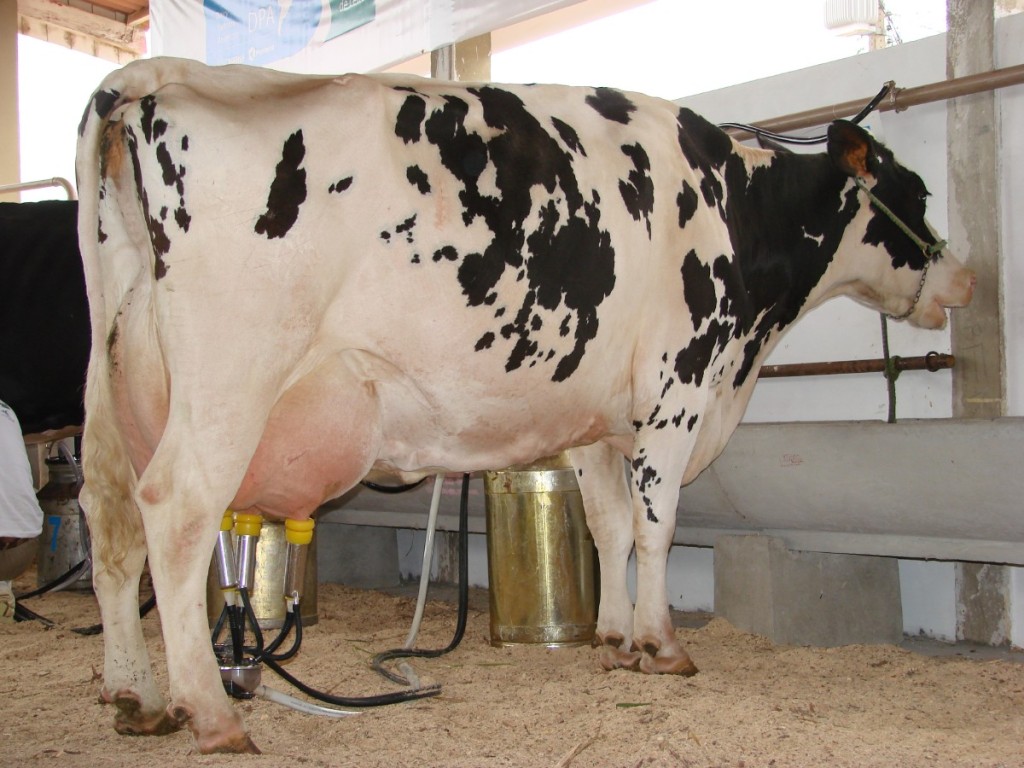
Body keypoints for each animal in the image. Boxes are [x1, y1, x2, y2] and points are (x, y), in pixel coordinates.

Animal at [75, 57, 973, 754]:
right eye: (918, 192)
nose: (964, 280)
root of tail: (152, 76)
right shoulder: (679, 387)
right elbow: (655, 525)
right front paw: (662, 645)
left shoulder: (601, 419)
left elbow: (608, 527)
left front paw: (612, 640)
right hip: (230, 374)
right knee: (175, 510)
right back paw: (211, 712)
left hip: (109, 380)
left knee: (110, 519)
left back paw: (135, 696)